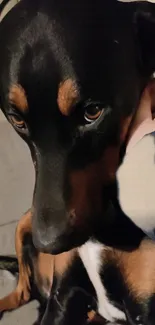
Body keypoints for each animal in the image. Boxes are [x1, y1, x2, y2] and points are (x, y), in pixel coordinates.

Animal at [1, 0, 155, 322]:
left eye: (92, 112)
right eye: (17, 119)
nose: (48, 243)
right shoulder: (64, 295)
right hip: (25, 221)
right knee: (21, 291)